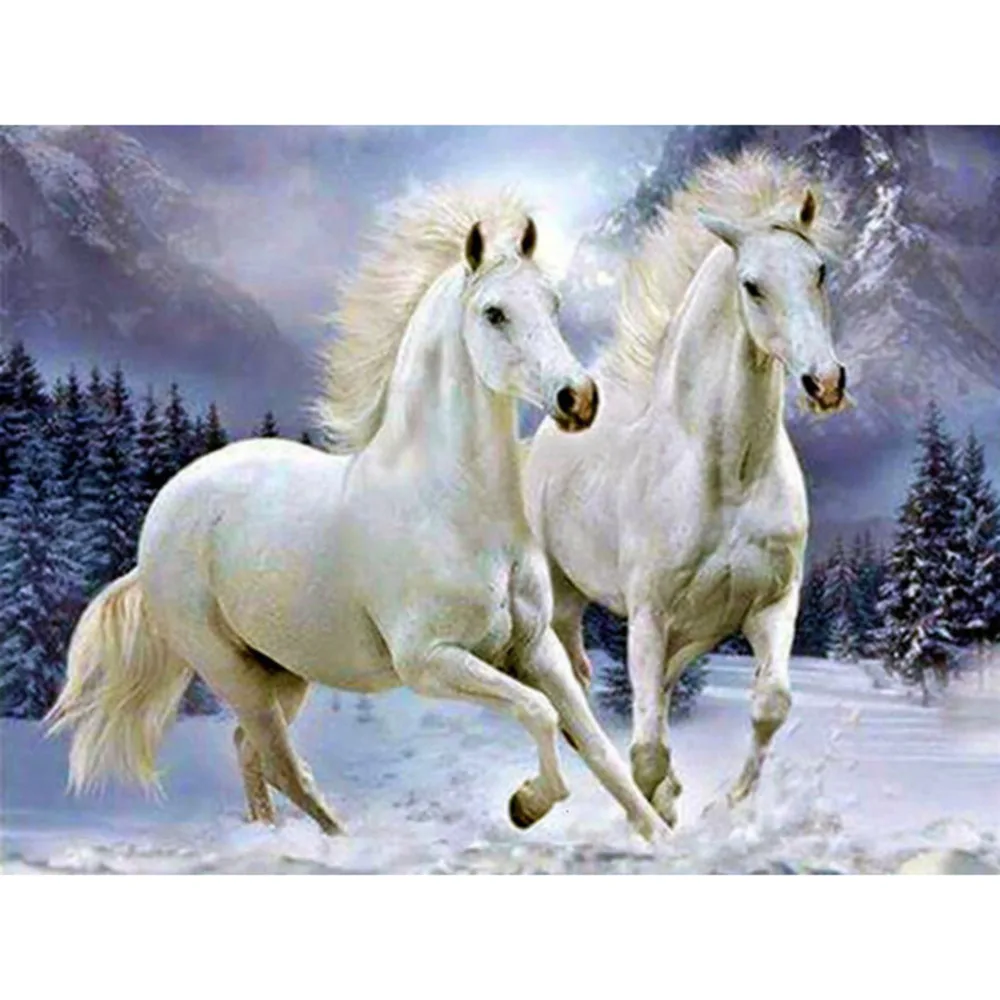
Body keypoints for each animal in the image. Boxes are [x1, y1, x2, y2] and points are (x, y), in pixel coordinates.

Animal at [46, 188, 669, 842]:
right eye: (494, 313)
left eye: (552, 304)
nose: (579, 398)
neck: (453, 507)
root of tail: (161, 517)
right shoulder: (429, 661)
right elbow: (540, 713)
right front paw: (527, 804)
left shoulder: (535, 650)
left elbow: (598, 748)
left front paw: (658, 834)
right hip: (229, 670)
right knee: (282, 762)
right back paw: (336, 838)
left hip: (285, 668)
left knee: (249, 749)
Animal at [523, 151, 850, 826]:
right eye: (752, 285)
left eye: (820, 271)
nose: (825, 383)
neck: (728, 476)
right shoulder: (648, 616)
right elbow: (645, 754)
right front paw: (658, 815)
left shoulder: (771, 604)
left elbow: (770, 706)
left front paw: (722, 806)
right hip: (562, 599)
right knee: (576, 692)